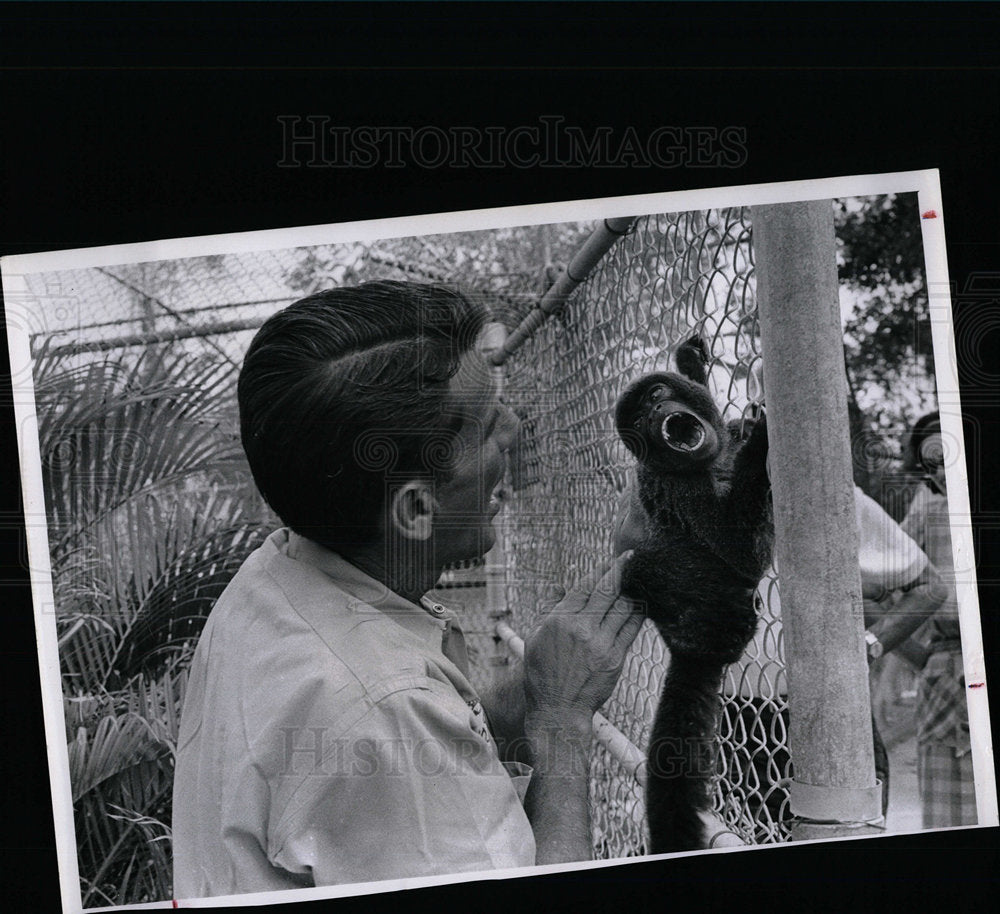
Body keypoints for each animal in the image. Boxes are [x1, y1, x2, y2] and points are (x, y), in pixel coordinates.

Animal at [616, 336, 772, 856]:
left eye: (656, 394)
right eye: (638, 420)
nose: (654, 413)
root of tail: (690, 648)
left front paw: (693, 365)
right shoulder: (675, 486)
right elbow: (741, 551)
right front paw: (760, 443)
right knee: (642, 565)